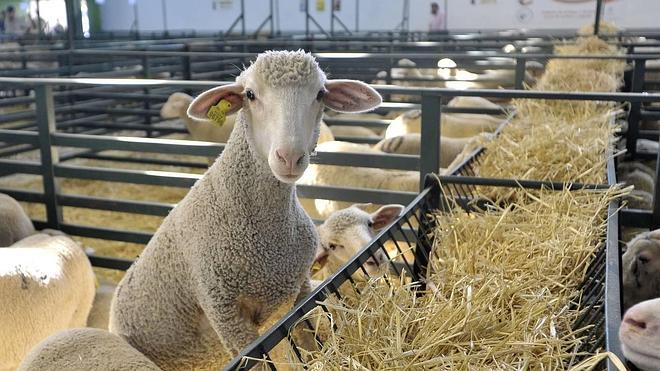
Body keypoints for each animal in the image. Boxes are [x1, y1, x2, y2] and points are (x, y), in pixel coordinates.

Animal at [108, 50, 382, 371]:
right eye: (250, 94)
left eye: (320, 94)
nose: (290, 157)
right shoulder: (225, 313)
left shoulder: (299, 290)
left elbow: (309, 345)